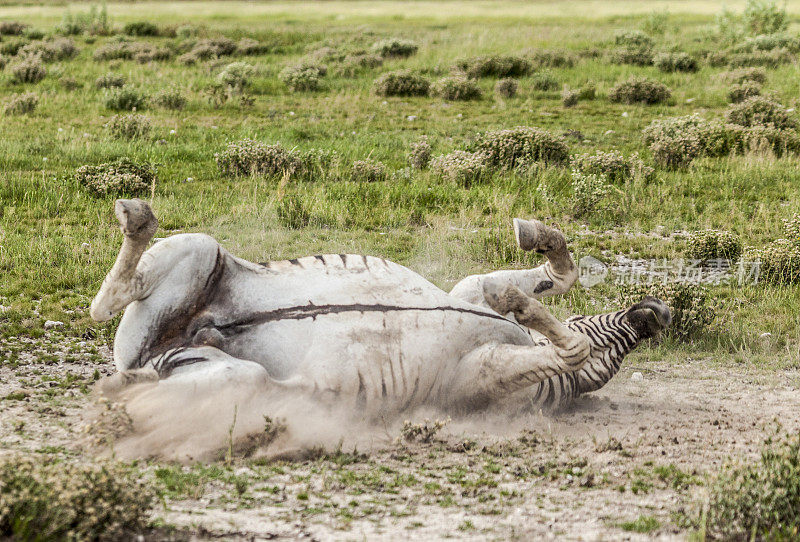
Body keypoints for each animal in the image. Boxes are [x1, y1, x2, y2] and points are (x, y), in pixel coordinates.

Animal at [90, 200, 672, 412]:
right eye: (616, 344)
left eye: (613, 364)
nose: (658, 315)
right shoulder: (468, 291)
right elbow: (558, 276)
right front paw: (534, 245)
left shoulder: (482, 379)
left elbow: (567, 347)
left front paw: (526, 305)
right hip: (201, 250)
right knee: (109, 299)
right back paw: (135, 216)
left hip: (217, 370)